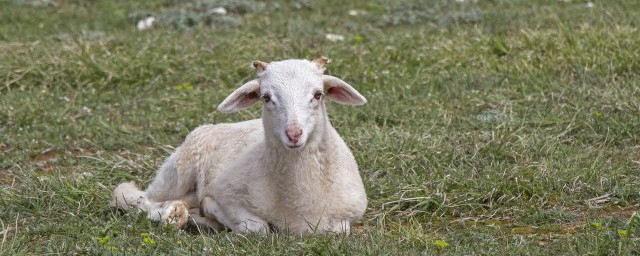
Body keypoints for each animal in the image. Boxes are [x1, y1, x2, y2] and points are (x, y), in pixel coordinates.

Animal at [112, 57, 368, 235]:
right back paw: (174, 215)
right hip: (178, 170)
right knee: (140, 200)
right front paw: (211, 211)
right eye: (266, 97)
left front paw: (207, 217)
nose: (294, 134)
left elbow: (339, 230)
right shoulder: (228, 194)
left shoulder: (348, 216)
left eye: (318, 94)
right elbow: (258, 228)